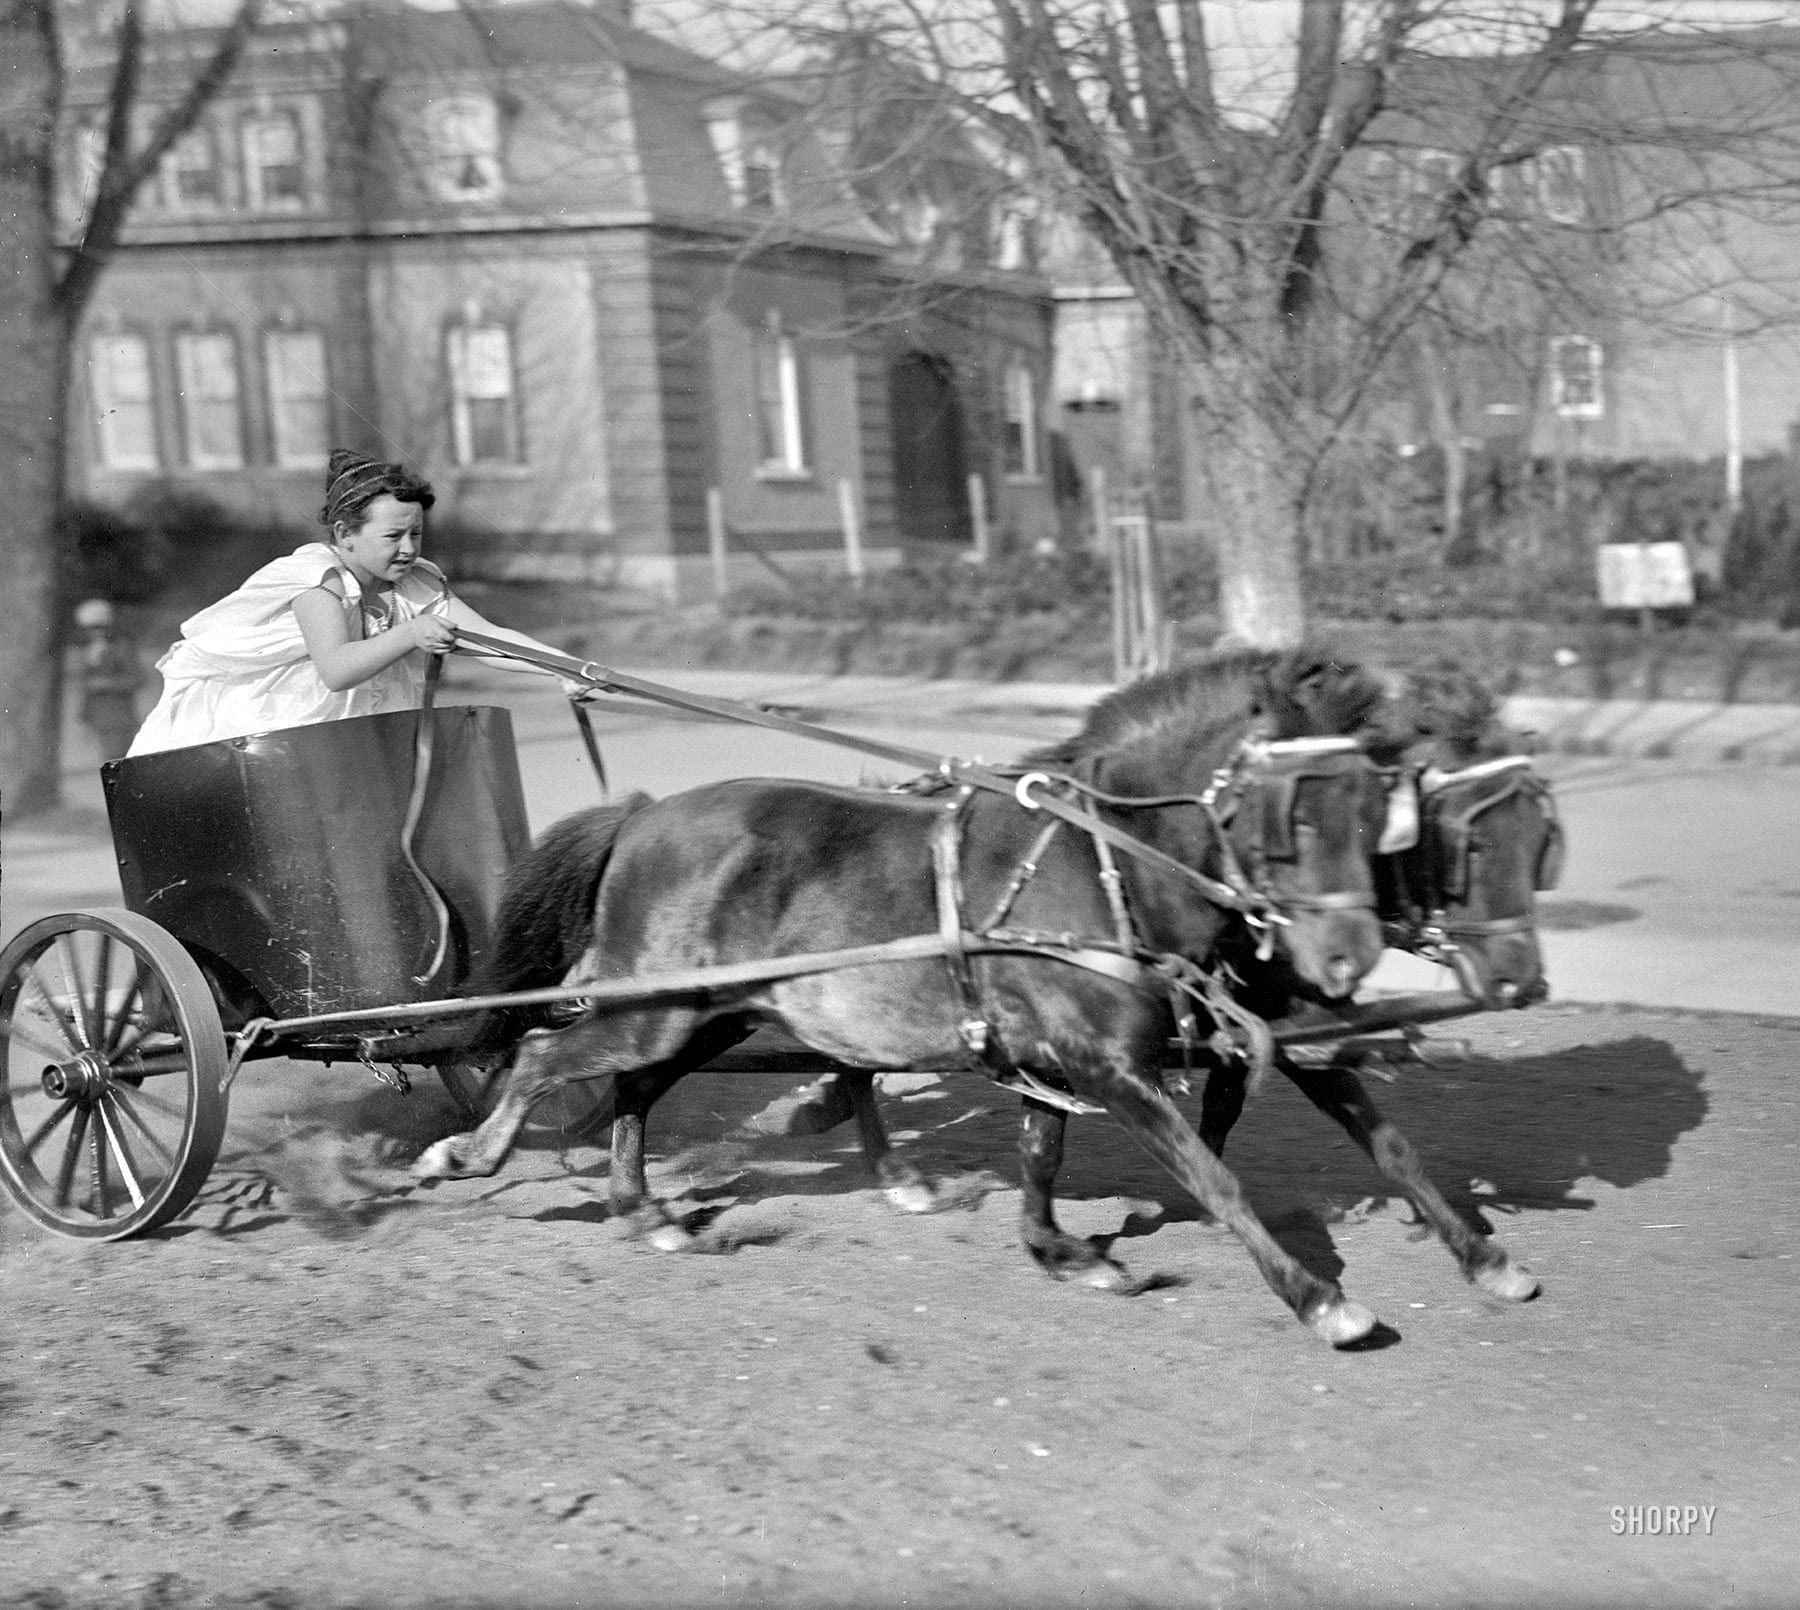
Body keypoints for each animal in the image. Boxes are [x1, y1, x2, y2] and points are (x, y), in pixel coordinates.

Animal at [417, 641, 1389, 1347]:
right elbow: (1210, 1175)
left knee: (632, 1089)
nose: (1351, 959)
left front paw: (1060, 1253)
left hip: (708, 1015)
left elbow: (1041, 1155)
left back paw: (646, 1210)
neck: (1096, 862)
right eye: (1295, 813)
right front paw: (1318, 1298)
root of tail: (643, 814)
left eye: (1375, 807)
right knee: (545, 1053)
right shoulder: (1110, 1066)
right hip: (659, 1010)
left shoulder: (1056, 1060)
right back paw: (468, 1154)